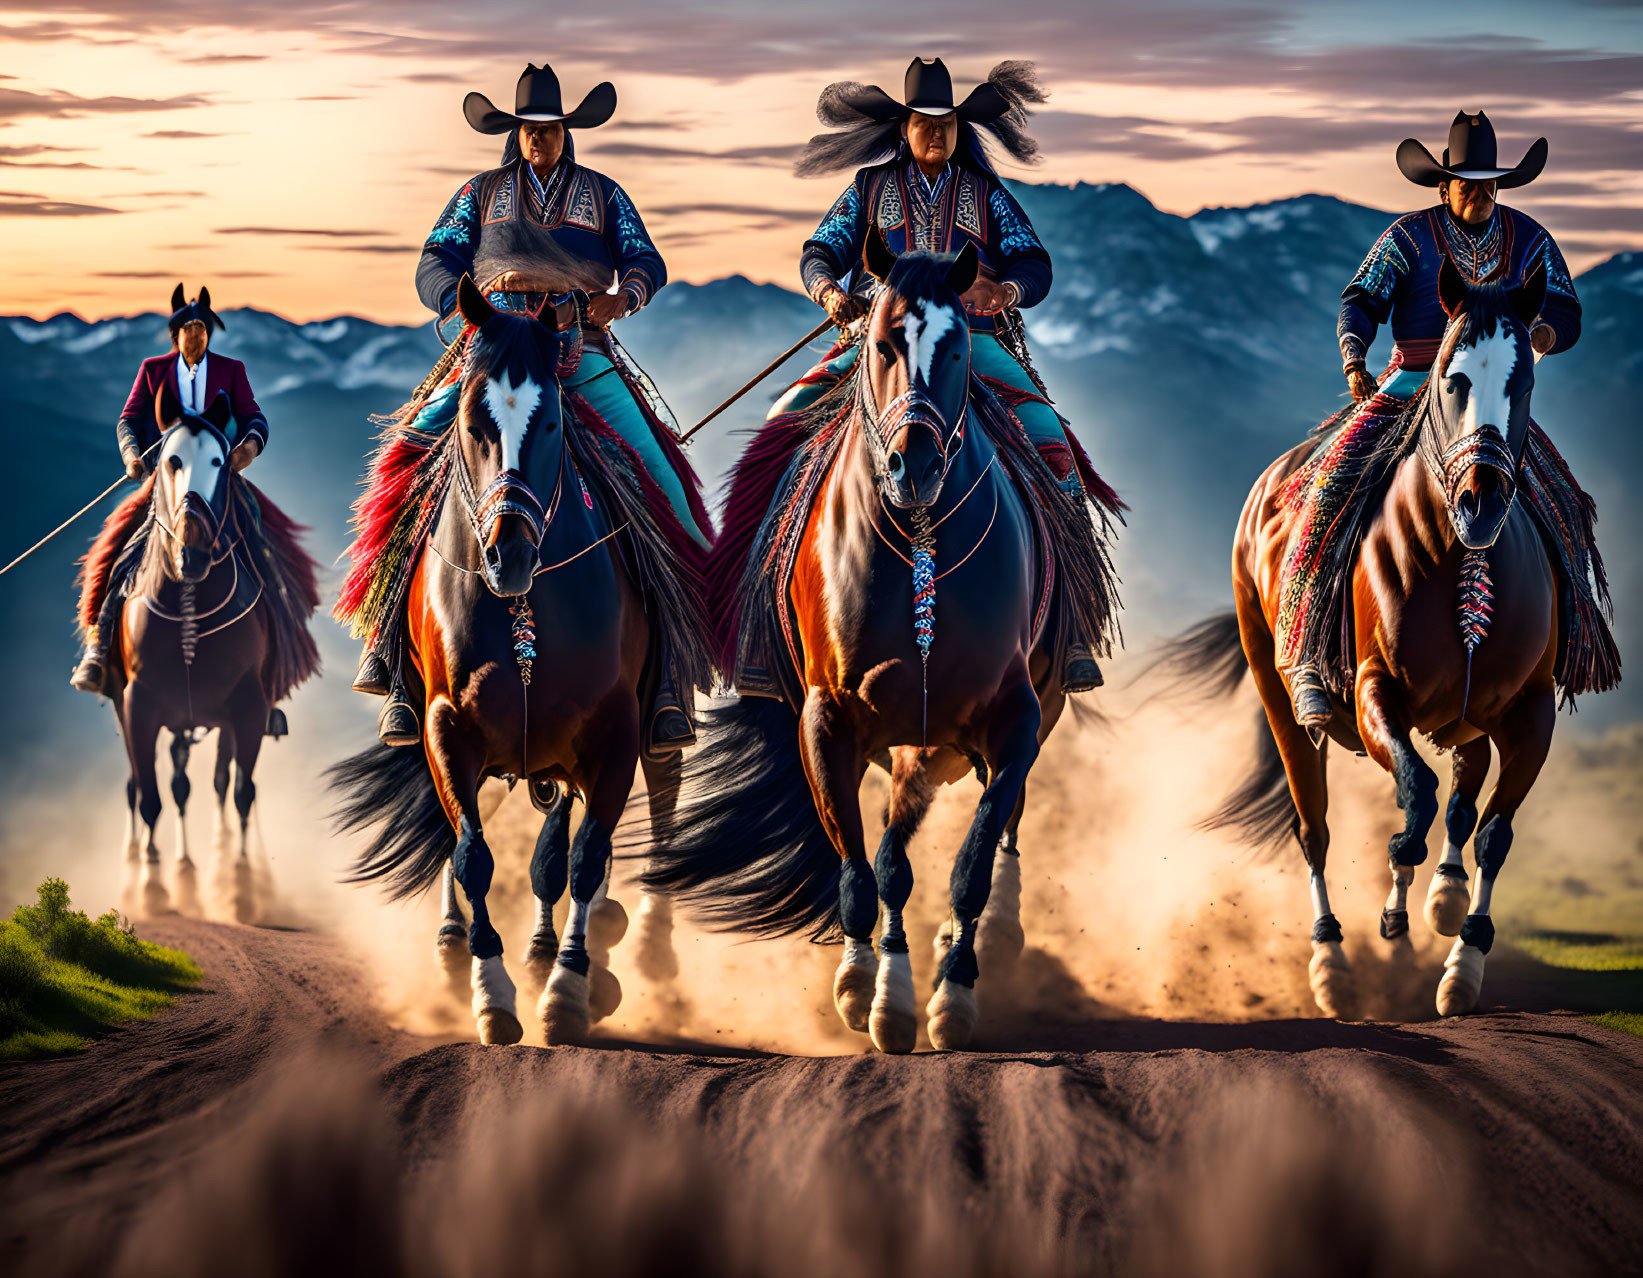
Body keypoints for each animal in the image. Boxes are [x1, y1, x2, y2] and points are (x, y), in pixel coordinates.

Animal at [103, 387, 323, 913]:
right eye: (170, 460)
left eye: (221, 462)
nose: (194, 550)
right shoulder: (138, 706)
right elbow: (150, 797)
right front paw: (152, 884)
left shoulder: (247, 707)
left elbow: (240, 791)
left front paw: (241, 882)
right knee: (146, 786)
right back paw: (150, 866)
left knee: (214, 785)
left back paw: (211, 864)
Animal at [330, 274, 696, 1038]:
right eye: (473, 421)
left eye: (551, 421)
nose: (508, 555)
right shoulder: (446, 726)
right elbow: (471, 853)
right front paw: (490, 993)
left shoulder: (612, 733)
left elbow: (582, 859)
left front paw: (566, 991)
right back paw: (463, 949)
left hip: (638, 731)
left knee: (654, 801)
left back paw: (638, 950)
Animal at [640, 233, 1117, 1051]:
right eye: (884, 341)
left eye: (957, 346)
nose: (913, 465)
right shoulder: (829, 717)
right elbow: (865, 867)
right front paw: (869, 987)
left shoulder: (1010, 719)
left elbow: (972, 858)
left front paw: (952, 994)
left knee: (996, 826)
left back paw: (987, 940)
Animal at [1163, 259, 1557, 1018]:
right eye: (1451, 379)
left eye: (1523, 381)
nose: (1481, 500)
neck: (1457, 557)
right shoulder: (1378, 692)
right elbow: (1415, 795)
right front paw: (1397, 896)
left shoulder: (1530, 712)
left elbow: (1489, 831)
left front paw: (1461, 966)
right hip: (1279, 694)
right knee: (1313, 825)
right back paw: (1333, 964)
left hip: (1467, 717)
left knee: (1462, 797)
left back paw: (1436, 902)